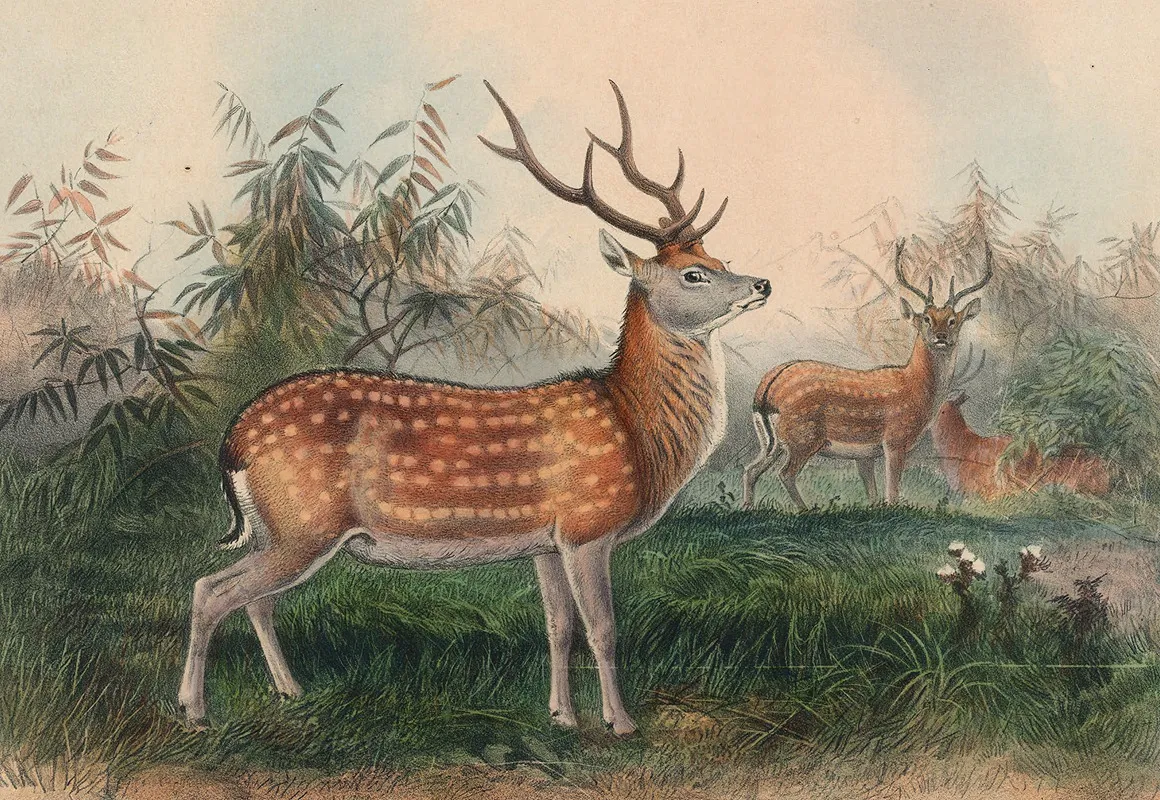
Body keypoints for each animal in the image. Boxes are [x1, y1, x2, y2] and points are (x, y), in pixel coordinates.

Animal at [178, 80, 771, 737]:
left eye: (721, 262)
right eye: (694, 274)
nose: (761, 284)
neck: (635, 428)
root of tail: (234, 439)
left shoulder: (545, 542)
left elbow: (558, 627)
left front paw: (562, 716)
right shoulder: (587, 526)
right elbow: (603, 629)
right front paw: (620, 724)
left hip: (277, 528)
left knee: (252, 598)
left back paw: (290, 690)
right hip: (303, 523)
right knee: (210, 589)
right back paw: (195, 711)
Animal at [740, 240, 991, 510]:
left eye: (953, 320)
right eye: (926, 318)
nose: (941, 336)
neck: (915, 387)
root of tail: (766, 389)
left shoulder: (865, 454)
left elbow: (872, 493)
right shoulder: (895, 438)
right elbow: (891, 493)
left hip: (771, 442)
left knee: (750, 469)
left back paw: (747, 507)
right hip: (803, 435)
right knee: (784, 473)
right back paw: (807, 510)